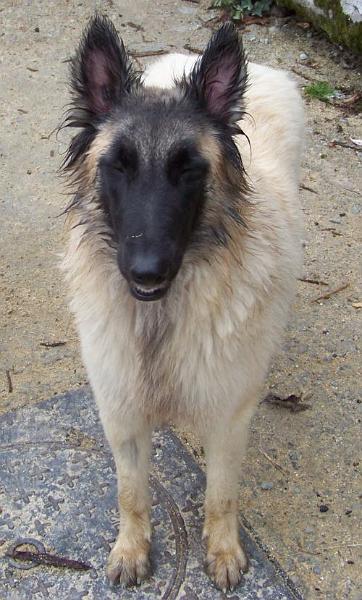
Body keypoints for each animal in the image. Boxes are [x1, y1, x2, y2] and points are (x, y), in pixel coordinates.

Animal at [60, 14, 304, 592]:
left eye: (188, 169)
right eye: (119, 166)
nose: (146, 271)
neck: (160, 319)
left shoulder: (230, 417)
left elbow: (221, 496)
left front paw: (223, 551)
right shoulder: (121, 414)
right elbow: (131, 494)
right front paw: (132, 550)